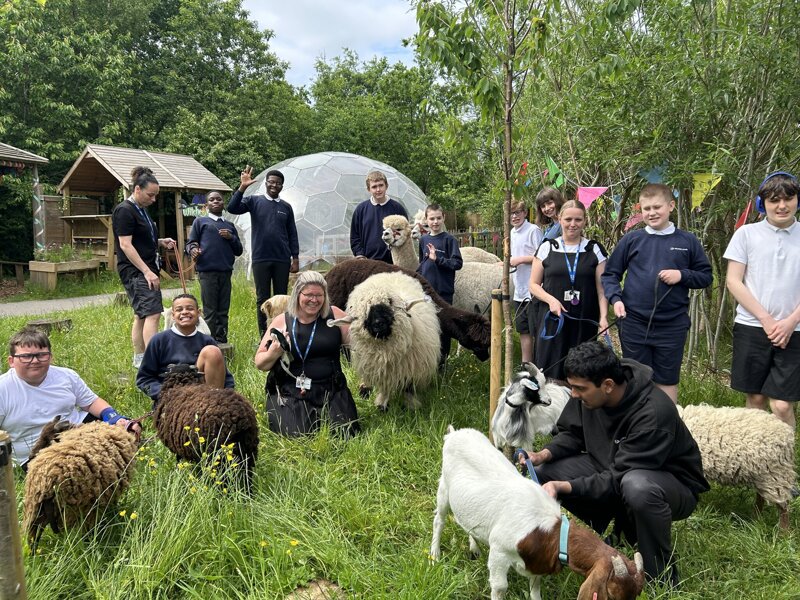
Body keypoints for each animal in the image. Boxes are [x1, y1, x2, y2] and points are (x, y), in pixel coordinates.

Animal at [324, 270, 440, 408]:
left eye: (390, 302)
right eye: (363, 312)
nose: (378, 323)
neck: (386, 351)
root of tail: (390, 273)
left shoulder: (412, 368)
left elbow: (409, 388)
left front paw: (411, 406)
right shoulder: (380, 368)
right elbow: (384, 387)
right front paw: (381, 404)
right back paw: (365, 388)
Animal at [432, 426, 644, 600]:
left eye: (636, 594)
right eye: (612, 594)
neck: (550, 531)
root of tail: (455, 433)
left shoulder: (538, 561)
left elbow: (535, 586)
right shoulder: (499, 550)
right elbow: (500, 587)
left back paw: (474, 548)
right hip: (444, 488)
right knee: (439, 521)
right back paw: (434, 556)